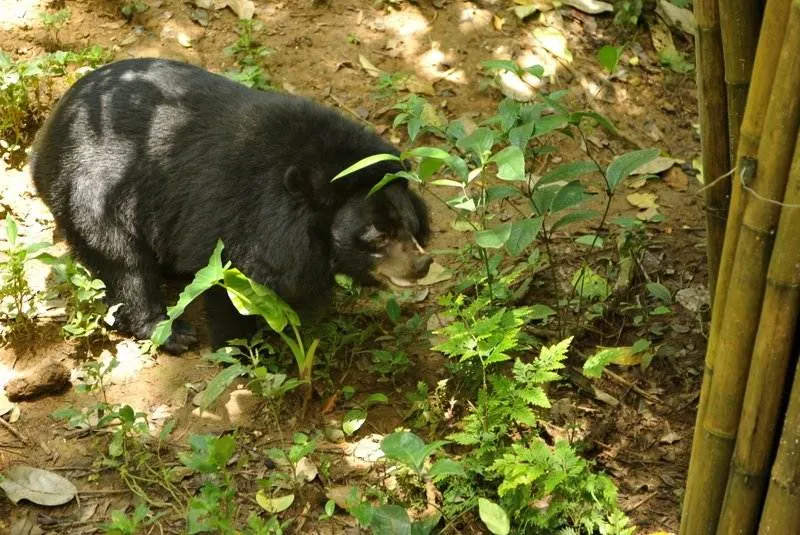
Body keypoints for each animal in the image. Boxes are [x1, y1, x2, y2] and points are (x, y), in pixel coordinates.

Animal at [30, 58, 432, 354]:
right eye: (378, 235)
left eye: (410, 225)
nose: (422, 264)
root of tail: (46, 139)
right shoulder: (245, 226)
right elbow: (231, 287)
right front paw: (244, 348)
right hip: (95, 193)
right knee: (124, 263)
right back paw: (170, 331)